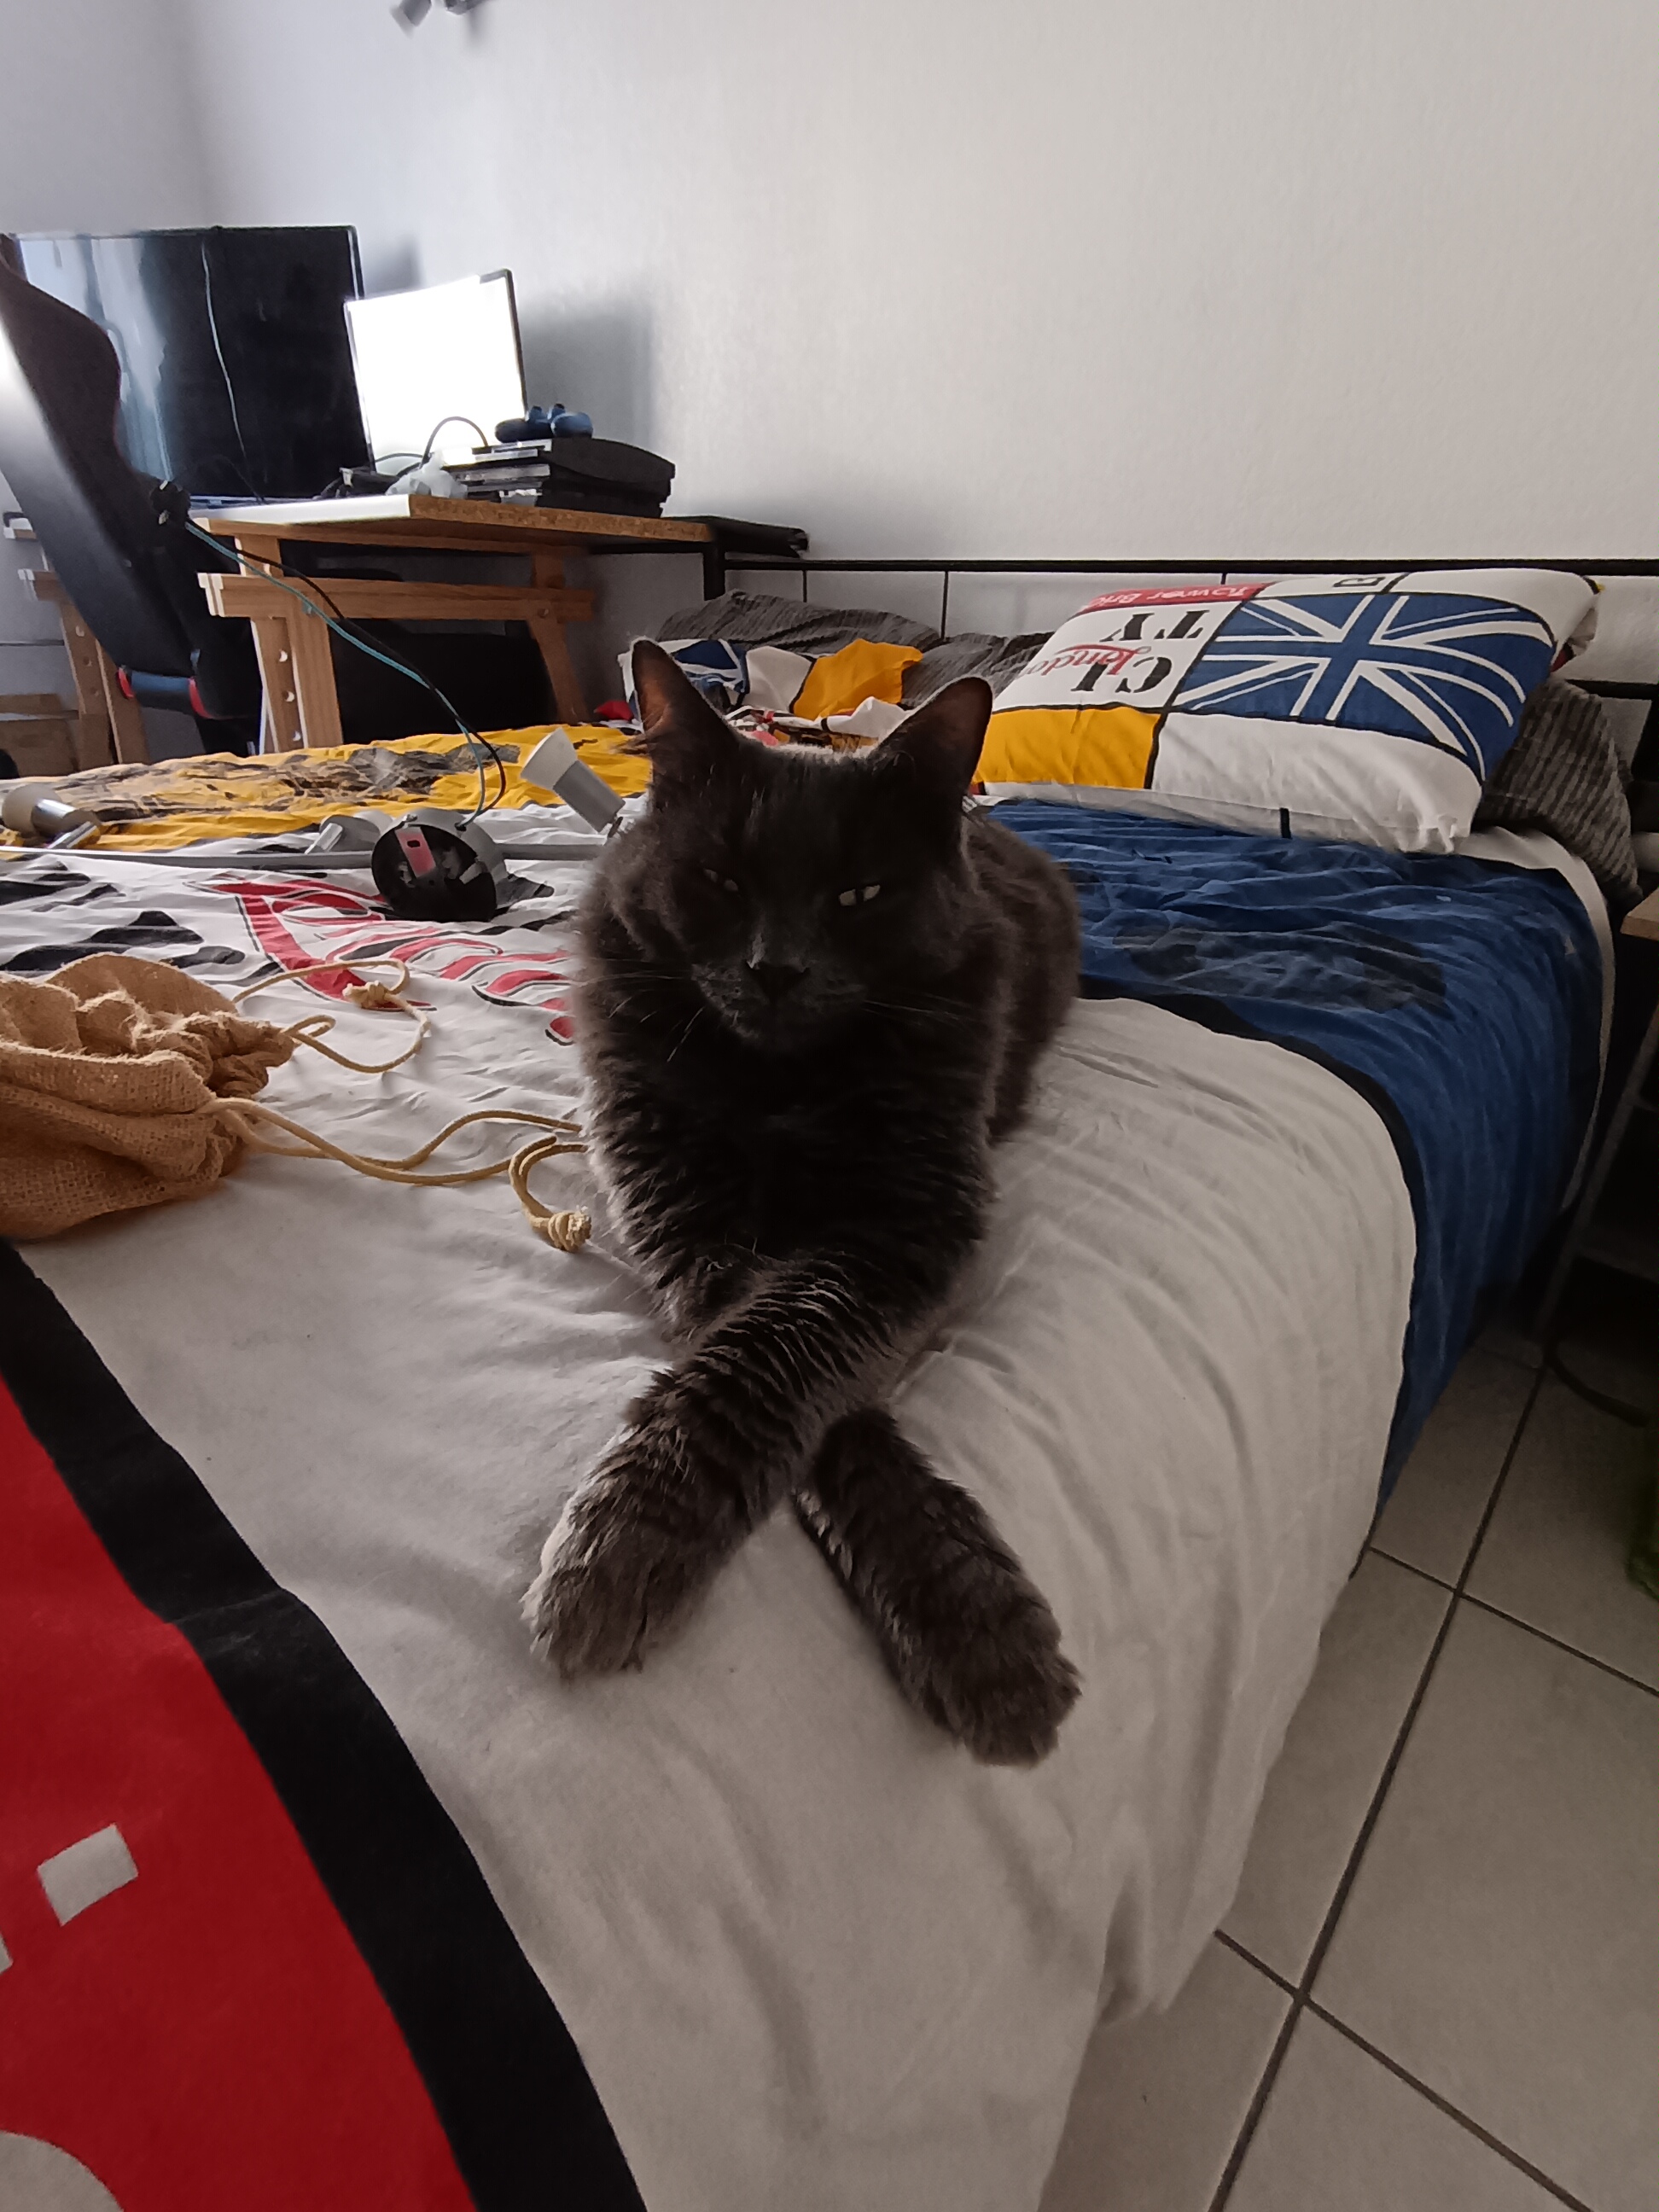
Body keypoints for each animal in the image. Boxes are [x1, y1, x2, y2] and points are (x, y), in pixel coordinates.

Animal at [524, 640, 1083, 1763]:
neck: (778, 1085)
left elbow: (764, 1368)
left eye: (859, 894)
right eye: (722, 880)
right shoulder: (692, 1222)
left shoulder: (903, 1226)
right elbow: (766, 1383)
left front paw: (976, 1627)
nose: (775, 968)